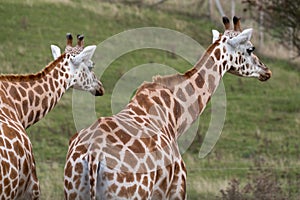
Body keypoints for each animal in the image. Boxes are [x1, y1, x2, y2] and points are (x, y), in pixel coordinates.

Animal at [64, 16, 274, 199]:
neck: (175, 115)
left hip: (74, 191)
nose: (267, 71)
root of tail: (93, 157)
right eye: (250, 48)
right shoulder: (177, 190)